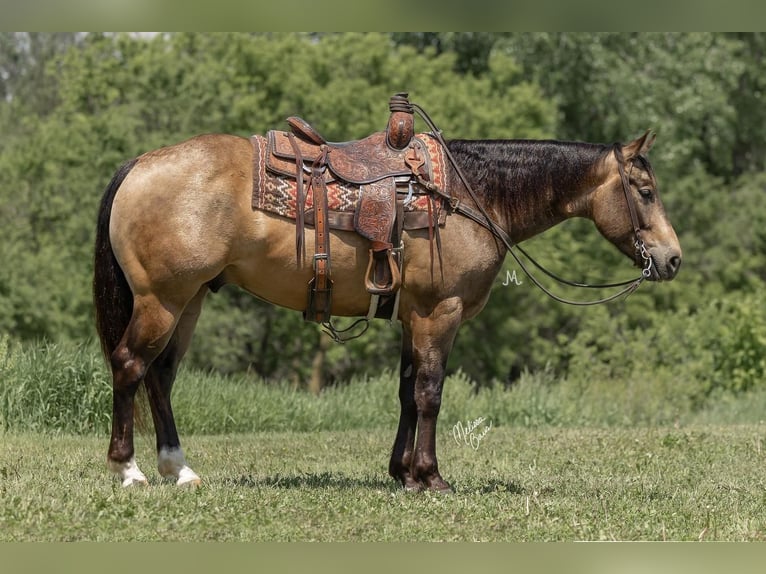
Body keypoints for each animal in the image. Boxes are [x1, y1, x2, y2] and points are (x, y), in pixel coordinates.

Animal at [91, 97, 684, 492]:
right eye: (645, 191)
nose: (673, 258)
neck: (469, 195)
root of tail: (141, 164)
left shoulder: (412, 316)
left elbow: (405, 392)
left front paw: (402, 474)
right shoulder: (440, 313)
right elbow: (430, 393)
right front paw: (431, 477)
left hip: (189, 300)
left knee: (161, 376)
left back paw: (179, 469)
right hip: (162, 300)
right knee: (129, 365)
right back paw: (129, 470)